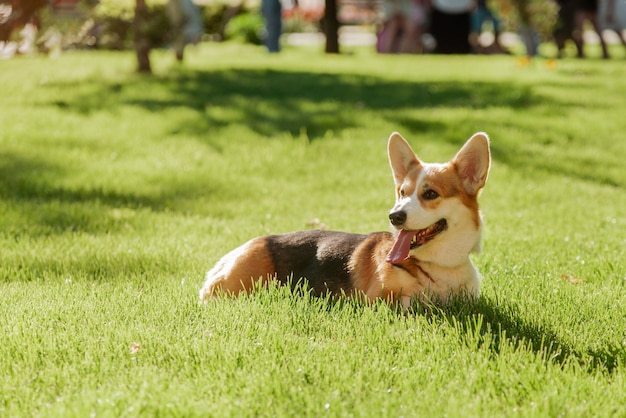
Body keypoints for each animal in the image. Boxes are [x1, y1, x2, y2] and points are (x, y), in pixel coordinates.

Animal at [199, 132, 488, 308]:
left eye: (430, 194)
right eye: (402, 193)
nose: (394, 217)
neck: (438, 267)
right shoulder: (380, 299)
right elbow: (415, 302)